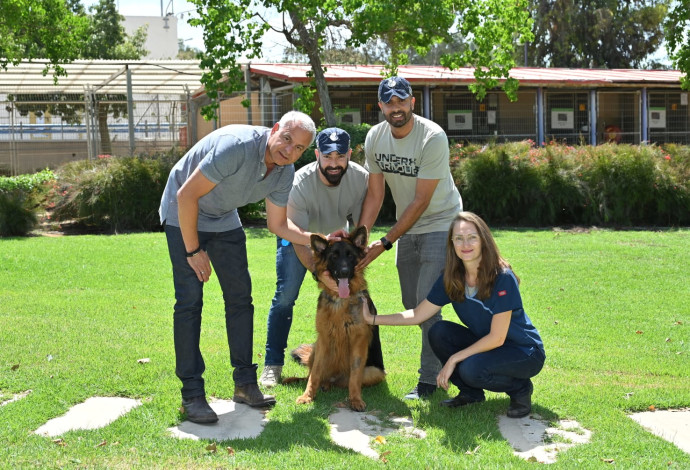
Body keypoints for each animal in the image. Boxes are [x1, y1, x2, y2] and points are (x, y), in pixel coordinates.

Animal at [292, 226, 384, 410]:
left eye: (350, 256)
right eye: (334, 256)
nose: (344, 272)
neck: (340, 301)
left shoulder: (358, 342)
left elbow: (355, 377)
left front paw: (355, 399)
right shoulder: (323, 339)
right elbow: (315, 374)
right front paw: (307, 396)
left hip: (374, 371)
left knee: (346, 381)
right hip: (315, 349)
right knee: (315, 374)